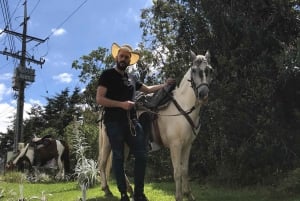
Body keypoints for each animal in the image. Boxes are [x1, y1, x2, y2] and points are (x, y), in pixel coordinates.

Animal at [97, 49, 212, 201]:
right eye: (194, 70)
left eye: (209, 70)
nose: (203, 94)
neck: (183, 107)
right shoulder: (175, 145)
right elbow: (177, 172)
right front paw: (179, 196)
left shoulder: (187, 145)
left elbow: (185, 170)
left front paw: (189, 195)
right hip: (108, 143)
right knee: (103, 163)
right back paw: (107, 189)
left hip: (125, 144)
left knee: (120, 166)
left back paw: (131, 191)